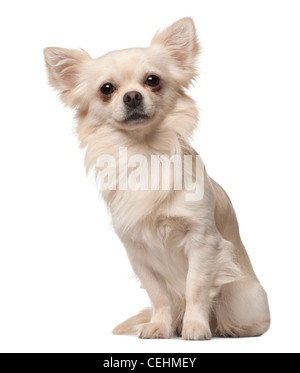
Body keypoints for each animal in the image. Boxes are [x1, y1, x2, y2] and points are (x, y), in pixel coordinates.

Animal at [44, 18, 270, 340]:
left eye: (152, 80)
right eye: (106, 89)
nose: (132, 96)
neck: (145, 151)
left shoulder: (203, 242)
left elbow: (196, 288)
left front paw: (195, 327)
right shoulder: (137, 252)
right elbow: (159, 295)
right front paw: (160, 327)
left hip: (244, 298)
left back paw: (223, 328)